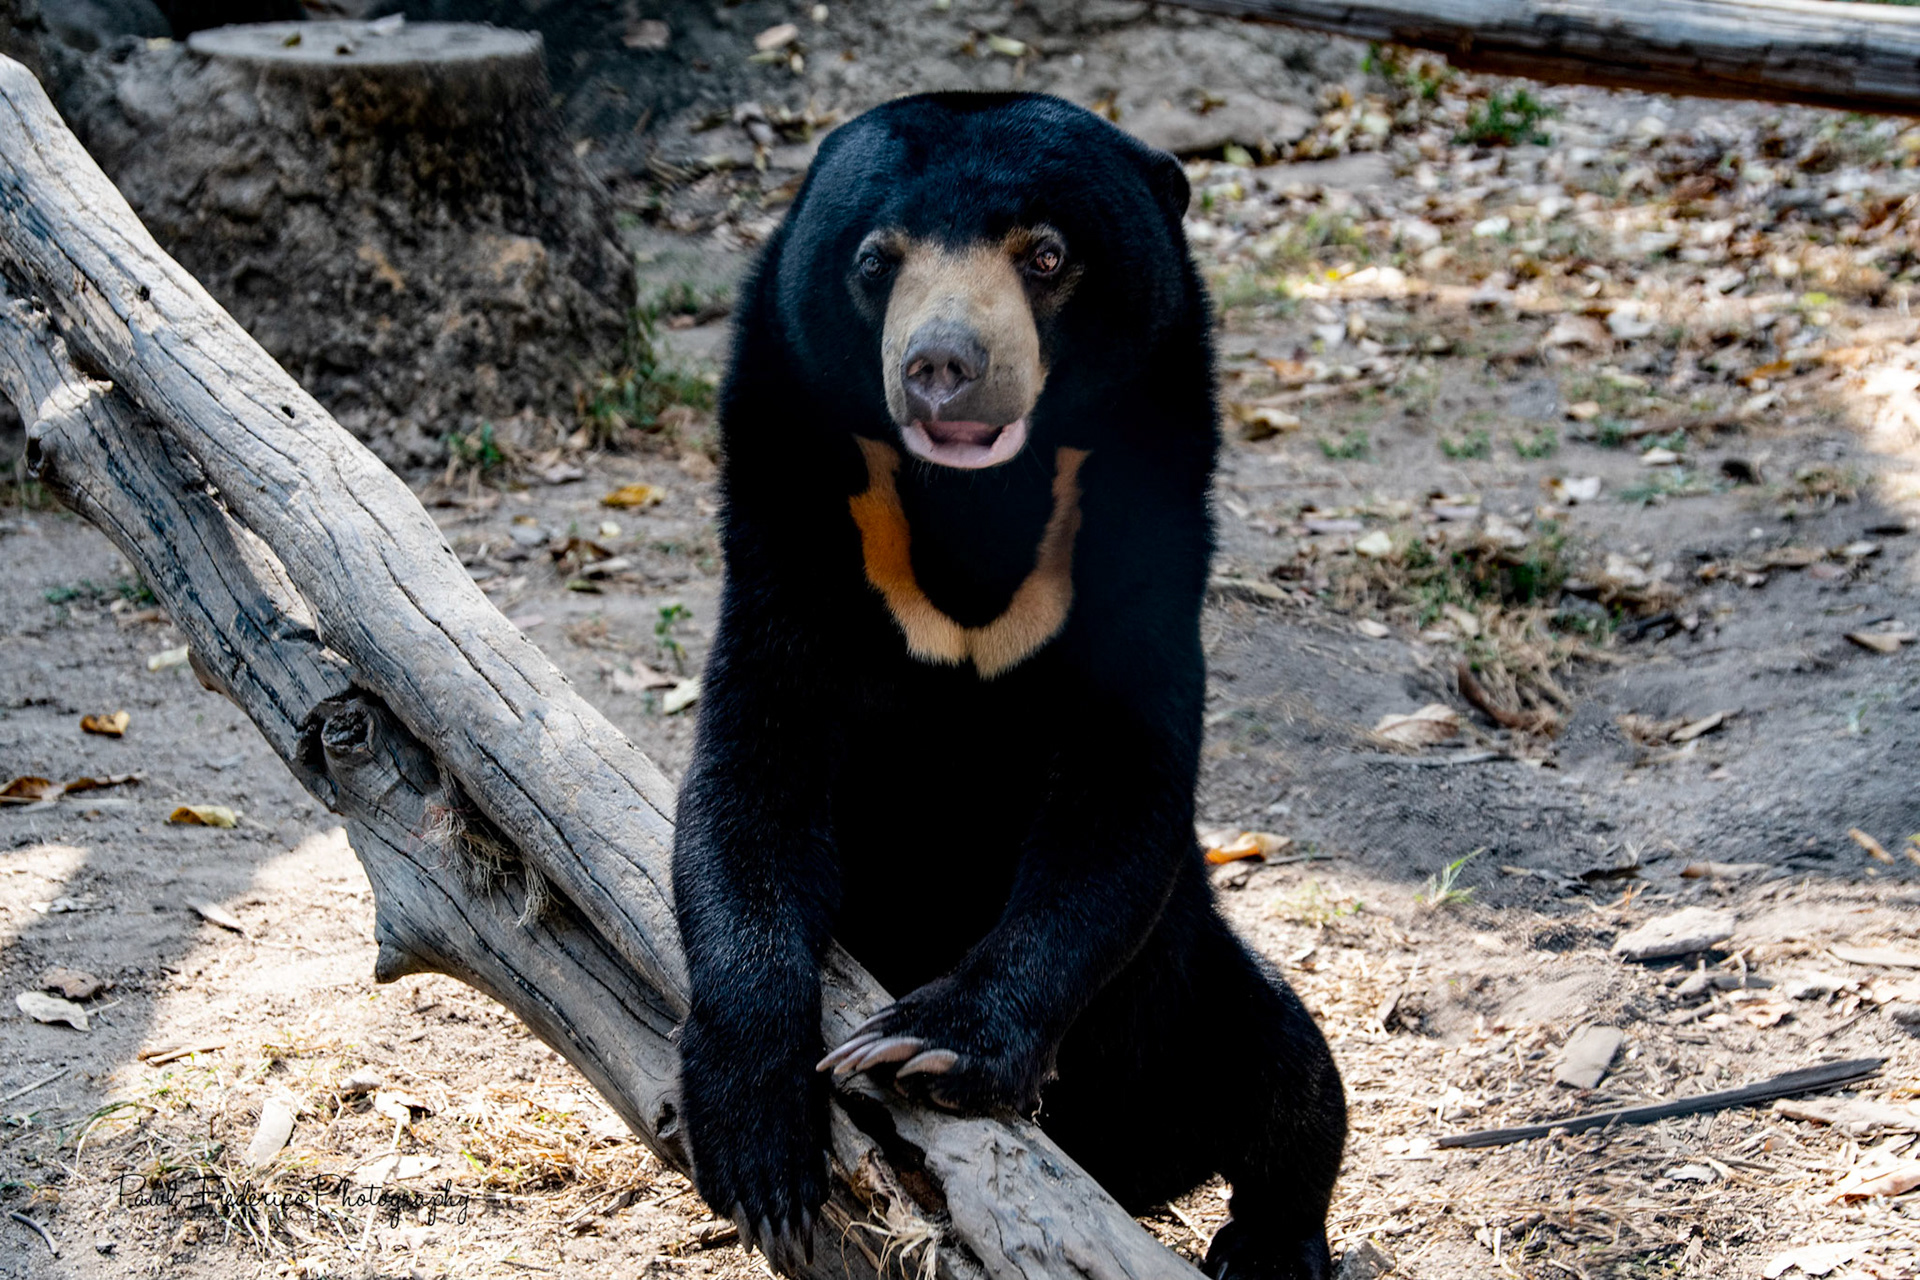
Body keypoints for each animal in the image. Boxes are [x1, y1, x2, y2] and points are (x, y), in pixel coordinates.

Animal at [671, 91, 1347, 1280]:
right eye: (875, 259)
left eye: (1047, 254)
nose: (942, 363)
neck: (972, 510)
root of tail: (1126, 1167)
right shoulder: (792, 546)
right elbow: (748, 786)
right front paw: (759, 1148)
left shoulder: (1142, 558)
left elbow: (1119, 806)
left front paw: (925, 1046)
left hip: (1186, 999)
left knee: (1287, 1067)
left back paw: (1270, 1242)